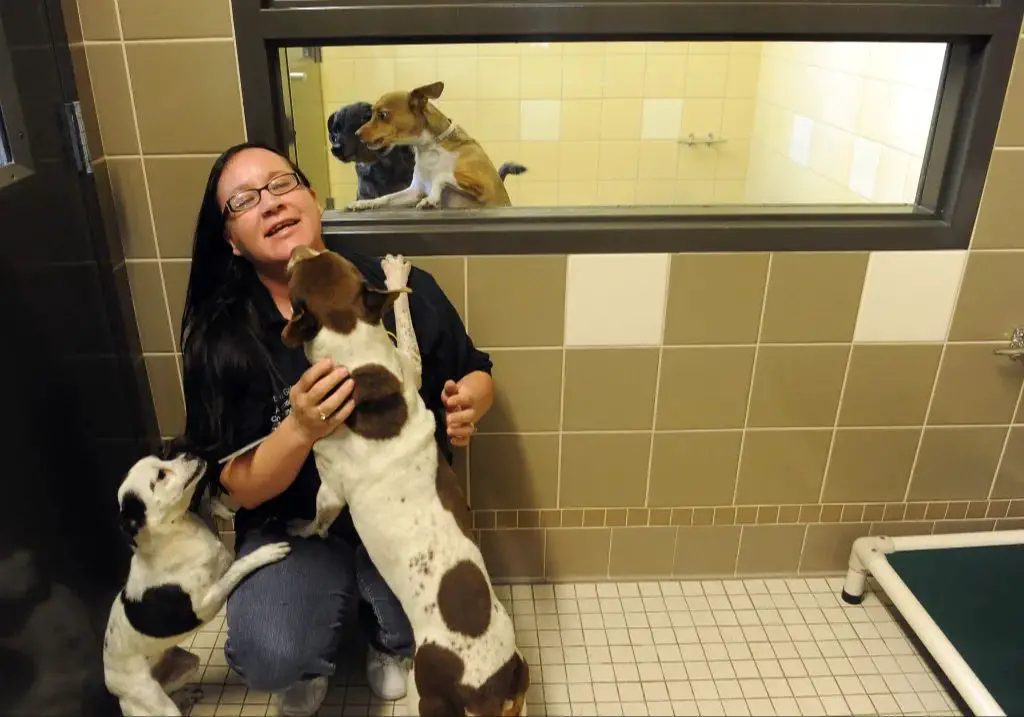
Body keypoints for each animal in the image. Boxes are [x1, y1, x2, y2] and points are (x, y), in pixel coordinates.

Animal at [101, 450, 288, 712]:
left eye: (161, 459)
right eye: (161, 475)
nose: (187, 452)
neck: (178, 532)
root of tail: (111, 683)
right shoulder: (206, 603)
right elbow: (237, 567)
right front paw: (264, 553)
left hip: (187, 664)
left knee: (173, 691)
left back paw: (186, 696)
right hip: (153, 700)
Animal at [348, 80, 516, 211]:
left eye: (382, 115)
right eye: (371, 114)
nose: (356, 134)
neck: (430, 148)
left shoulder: (482, 186)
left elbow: (441, 176)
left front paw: (431, 199)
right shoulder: (415, 191)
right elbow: (386, 197)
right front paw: (365, 203)